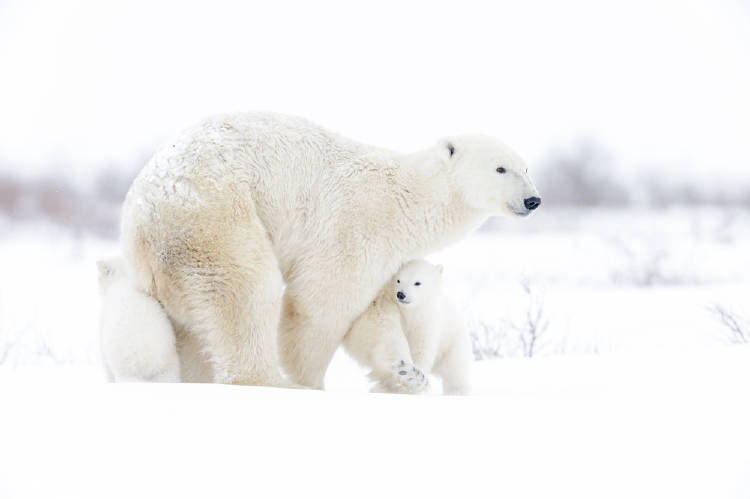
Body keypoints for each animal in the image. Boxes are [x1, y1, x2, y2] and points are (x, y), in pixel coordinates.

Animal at [343, 260, 472, 395]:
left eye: (417, 283)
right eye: (398, 280)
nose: (401, 294)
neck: (409, 312)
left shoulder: (427, 322)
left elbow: (421, 349)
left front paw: (415, 377)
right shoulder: (389, 304)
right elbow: (388, 335)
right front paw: (407, 374)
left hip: (453, 342)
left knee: (455, 368)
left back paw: (457, 391)